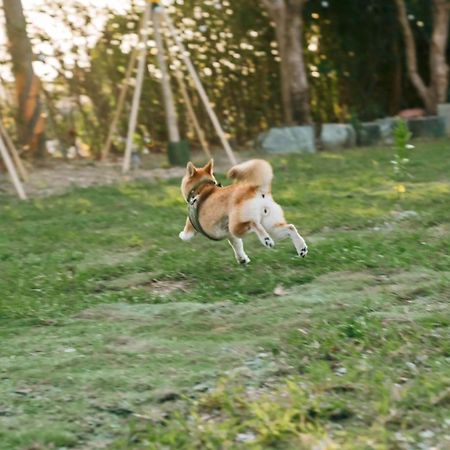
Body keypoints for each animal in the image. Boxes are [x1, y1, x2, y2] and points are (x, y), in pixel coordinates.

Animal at [179, 159, 310, 264]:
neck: (201, 188)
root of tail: (256, 189)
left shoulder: (191, 224)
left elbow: (186, 235)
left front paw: (182, 235)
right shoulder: (231, 235)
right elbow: (237, 246)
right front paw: (242, 259)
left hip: (236, 226)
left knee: (253, 224)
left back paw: (266, 240)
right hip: (272, 226)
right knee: (290, 228)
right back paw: (301, 248)